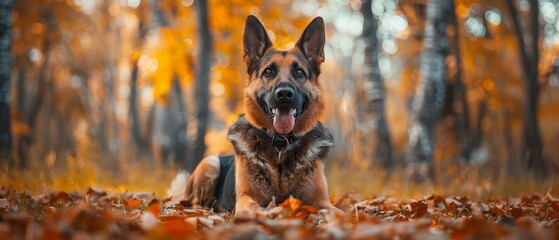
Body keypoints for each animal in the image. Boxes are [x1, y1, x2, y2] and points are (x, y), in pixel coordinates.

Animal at [174, 15, 342, 216]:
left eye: (299, 72)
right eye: (268, 71)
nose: (284, 94)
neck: (281, 145)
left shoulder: (321, 201)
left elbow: (339, 213)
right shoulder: (246, 198)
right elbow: (254, 209)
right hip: (210, 163)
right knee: (195, 203)